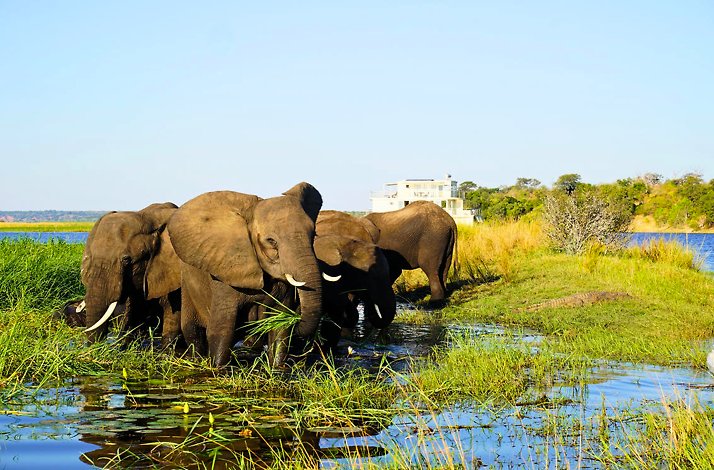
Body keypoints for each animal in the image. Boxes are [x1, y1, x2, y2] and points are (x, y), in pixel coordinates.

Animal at [167, 182, 324, 368]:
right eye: (271, 241)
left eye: (313, 235)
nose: (298, 318)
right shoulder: (226, 274)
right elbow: (222, 329)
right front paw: (218, 368)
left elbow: (280, 329)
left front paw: (277, 368)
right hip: (187, 284)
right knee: (193, 332)